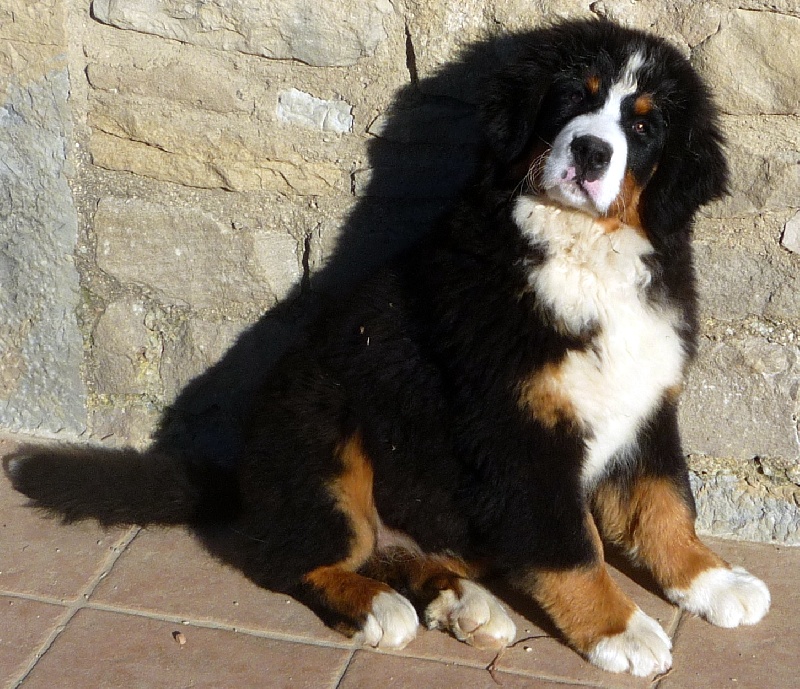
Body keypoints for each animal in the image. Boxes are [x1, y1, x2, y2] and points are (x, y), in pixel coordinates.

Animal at [4, 18, 768, 676]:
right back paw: (381, 608)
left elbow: (664, 504)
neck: (582, 252)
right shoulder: (519, 429)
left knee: (390, 550)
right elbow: (572, 544)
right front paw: (621, 630)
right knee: (296, 556)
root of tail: (246, 478)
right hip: (323, 434)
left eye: (643, 124)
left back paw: (460, 602)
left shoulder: (645, 399)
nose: (590, 150)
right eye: (570, 101)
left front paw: (711, 579)